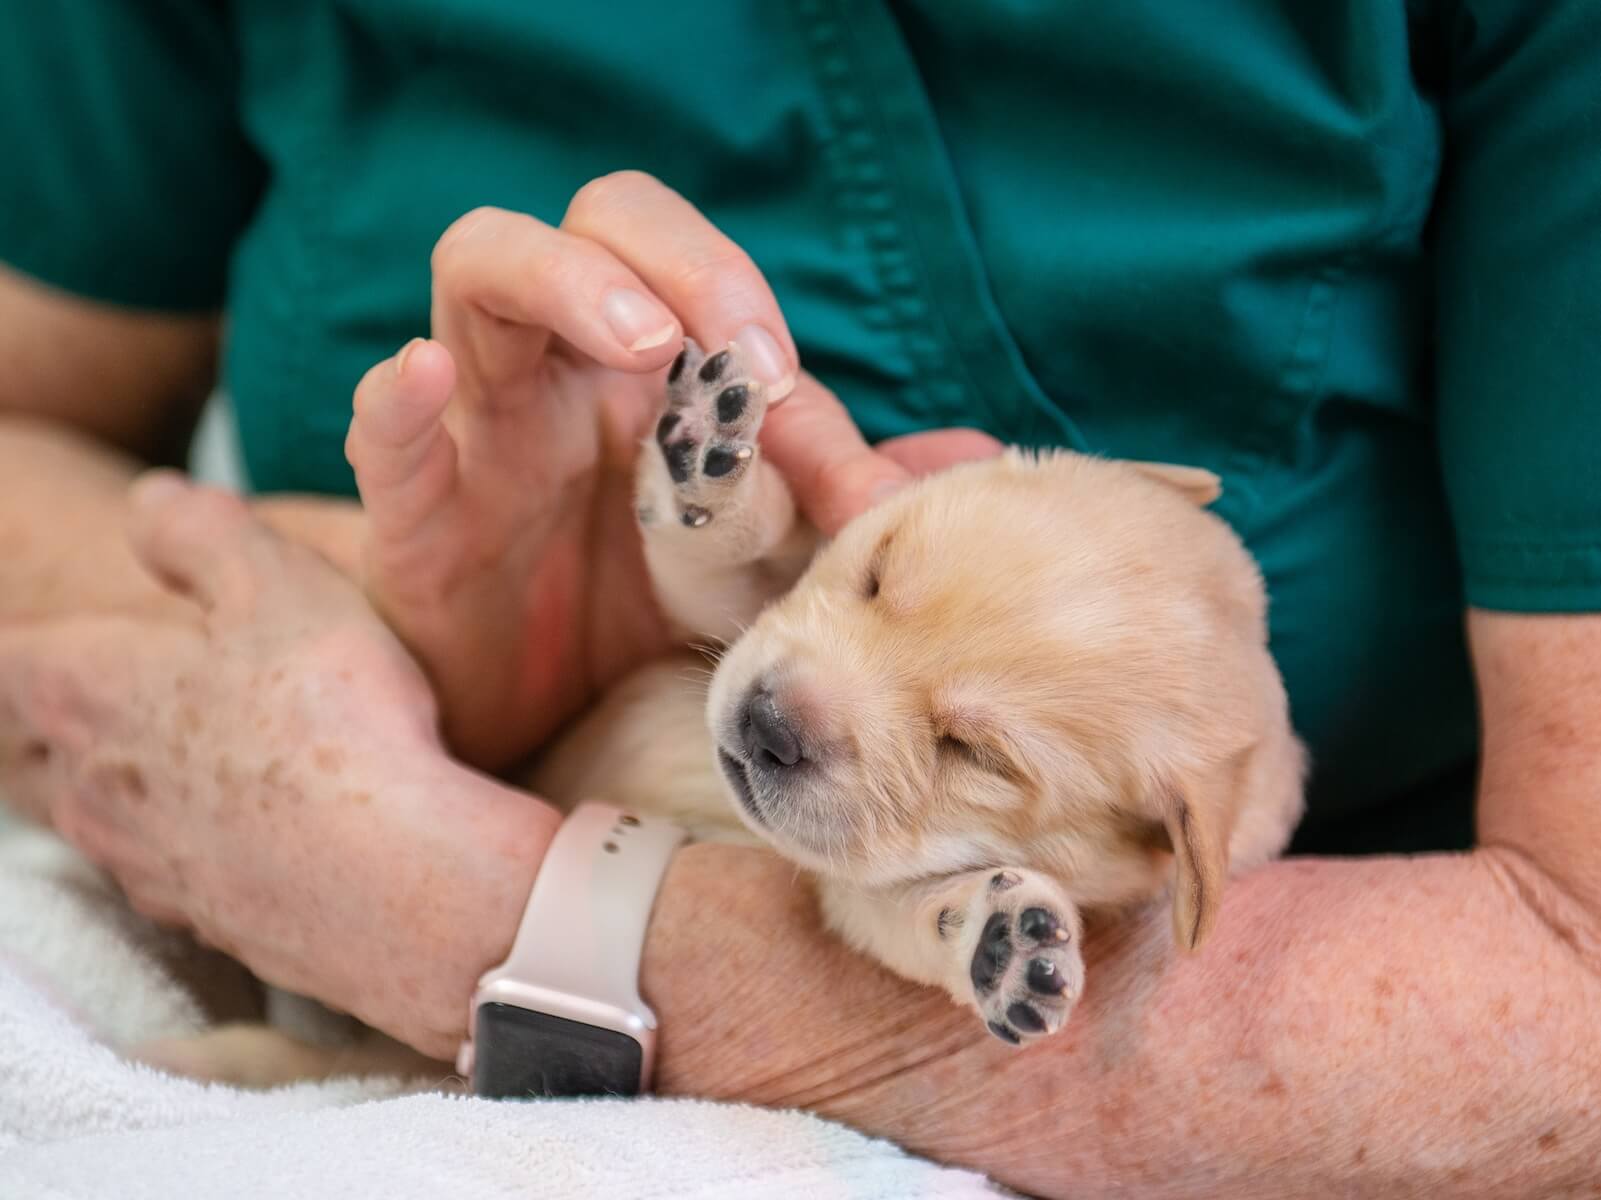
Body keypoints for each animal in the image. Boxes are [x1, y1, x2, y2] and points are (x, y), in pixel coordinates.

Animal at [137, 342, 1306, 1088]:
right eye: (877, 572)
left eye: (972, 750)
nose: (766, 725)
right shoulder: (725, 620)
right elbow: (730, 558)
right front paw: (704, 453)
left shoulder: (847, 887)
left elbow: (908, 915)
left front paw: (1000, 943)